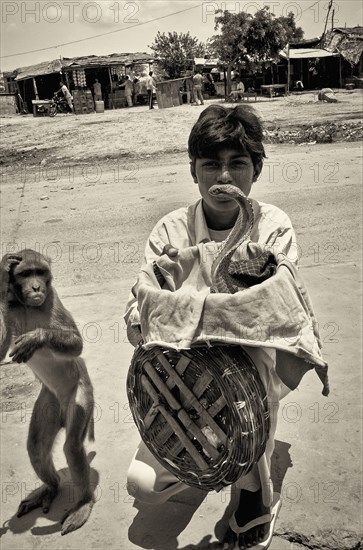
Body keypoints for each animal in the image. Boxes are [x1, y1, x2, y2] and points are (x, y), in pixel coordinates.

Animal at [0, 250, 95, 536]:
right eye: (25, 273)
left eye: (40, 272)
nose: (36, 288)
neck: (29, 307)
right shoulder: (11, 310)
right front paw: (2, 275)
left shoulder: (53, 302)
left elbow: (76, 344)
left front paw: (38, 337)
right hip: (49, 403)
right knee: (36, 447)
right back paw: (51, 488)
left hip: (80, 394)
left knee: (72, 446)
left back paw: (84, 502)